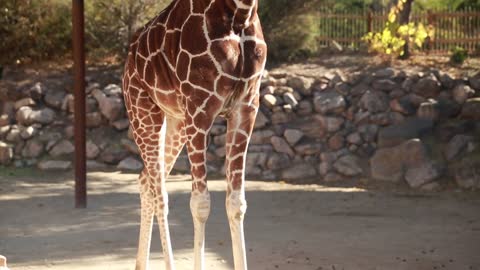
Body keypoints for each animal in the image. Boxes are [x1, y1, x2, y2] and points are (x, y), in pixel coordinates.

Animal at [122, 0, 266, 268]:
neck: (239, 13)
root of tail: (129, 58)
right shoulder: (199, 108)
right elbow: (200, 204)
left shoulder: (247, 106)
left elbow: (237, 203)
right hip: (143, 112)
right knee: (160, 194)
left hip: (177, 122)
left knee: (146, 181)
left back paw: (141, 263)